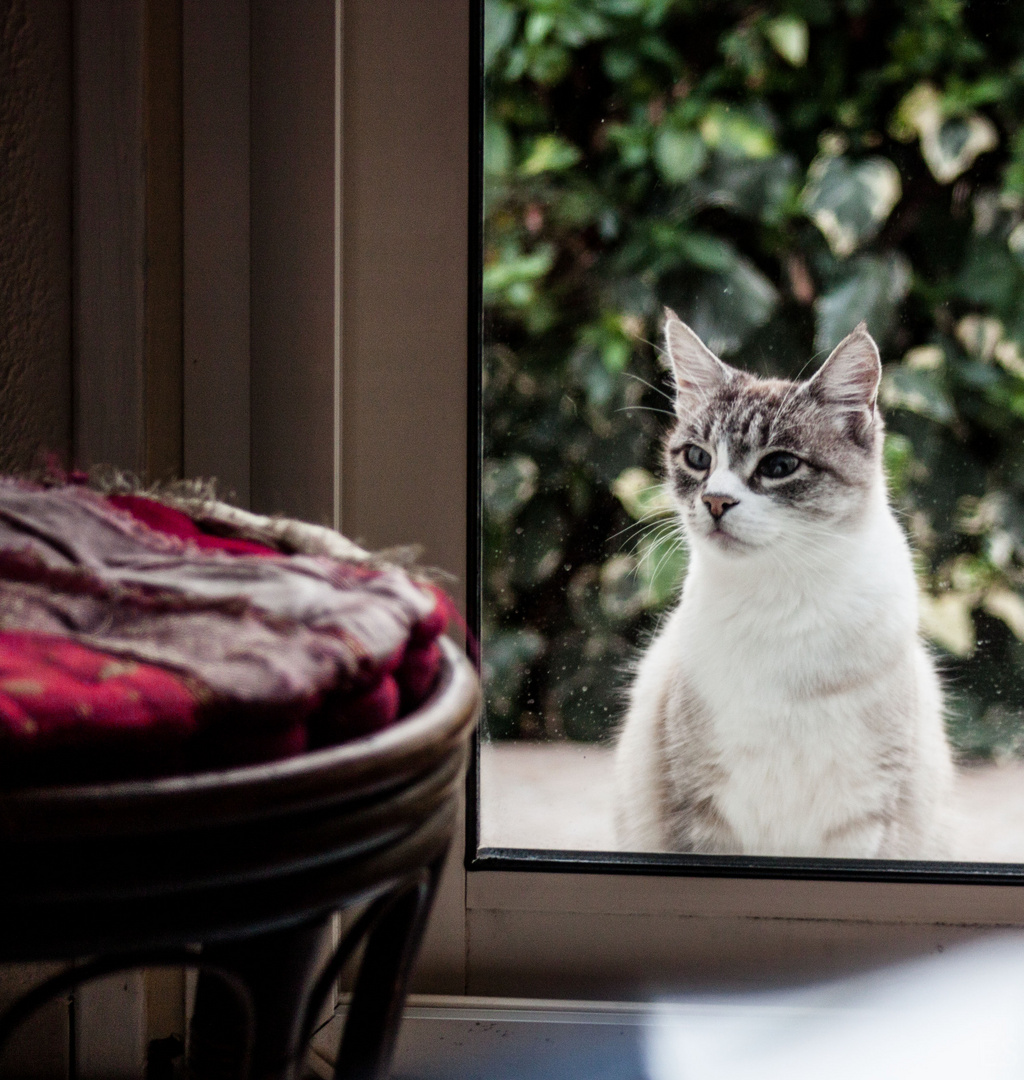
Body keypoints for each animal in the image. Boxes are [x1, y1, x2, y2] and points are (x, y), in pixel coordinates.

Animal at [617, 308, 959, 855]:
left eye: (779, 466)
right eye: (698, 458)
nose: (714, 501)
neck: (780, 600)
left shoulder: (863, 817)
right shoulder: (703, 809)